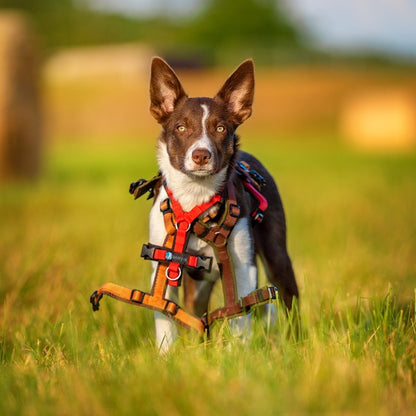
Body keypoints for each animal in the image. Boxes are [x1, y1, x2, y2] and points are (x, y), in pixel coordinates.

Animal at [148, 57, 298, 352]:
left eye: (221, 129)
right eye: (181, 127)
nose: (201, 155)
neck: (196, 198)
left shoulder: (243, 266)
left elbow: (240, 311)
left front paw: (239, 353)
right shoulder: (163, 262)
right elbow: (164, 314)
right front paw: (165, 356)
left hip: (277, 256)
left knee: (289, 301)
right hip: (199, 286)